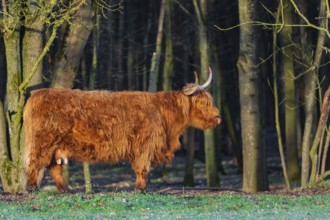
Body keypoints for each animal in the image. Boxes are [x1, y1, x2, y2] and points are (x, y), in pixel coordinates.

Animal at [23, 67, 222, 192]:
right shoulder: (145, 145)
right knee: (35, 162)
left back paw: (66, 189)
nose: (218, 117)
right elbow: (142, 167)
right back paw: (31, 188)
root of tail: (37, 95)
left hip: (56, 146)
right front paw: (141, 189)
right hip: (43, 142)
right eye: (203, 103)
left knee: (53, 167)